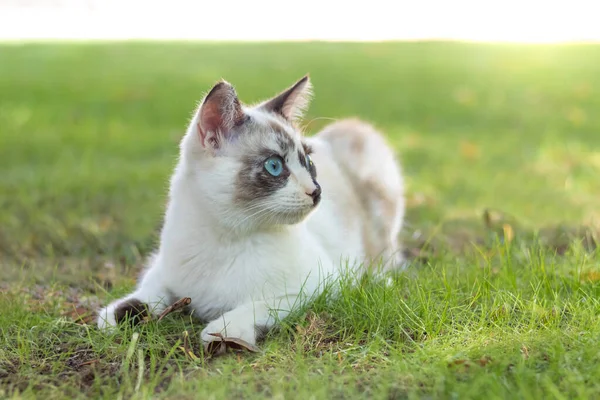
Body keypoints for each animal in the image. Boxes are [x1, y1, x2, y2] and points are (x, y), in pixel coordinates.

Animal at [98, 76, 406, 346]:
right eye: (274, 166)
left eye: (308, 163)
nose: (317, 191)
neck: (225, 240)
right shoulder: (162, 269)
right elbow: (145, 295)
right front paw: (113, 317)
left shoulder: (321, 286)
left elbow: (258, 305)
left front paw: (223, 331)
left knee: (387, 256)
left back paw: (380, 280)